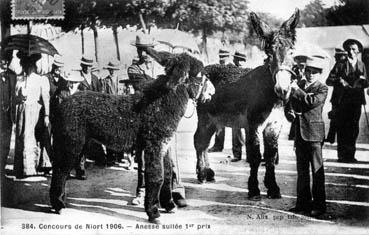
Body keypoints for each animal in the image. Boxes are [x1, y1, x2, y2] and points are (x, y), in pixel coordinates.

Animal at [49, 50, 211, 223]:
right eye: (200, 74)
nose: (212, 93)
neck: (160, 105)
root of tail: (63, 103)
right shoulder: (154, 145)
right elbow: (156, 176)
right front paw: (153, 212)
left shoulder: (165, 146)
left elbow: (167, 175)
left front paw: (169, 205)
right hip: (71, 142)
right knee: (60, 170)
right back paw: (58, 205)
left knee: (59, 168)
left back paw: (59, 202)